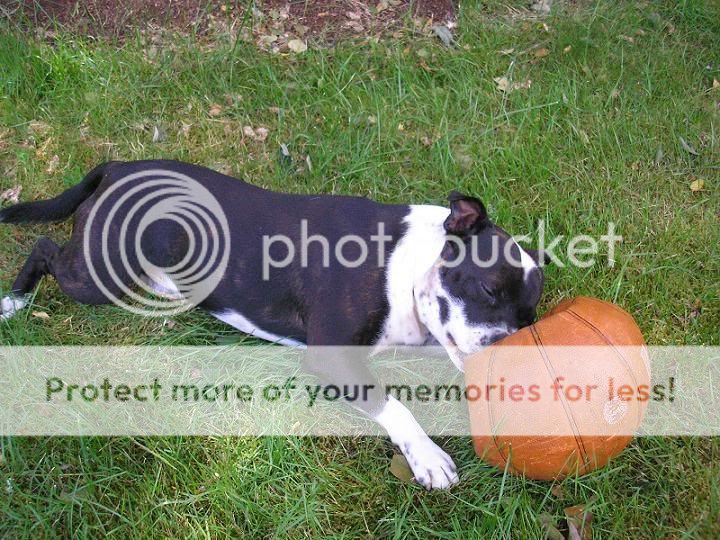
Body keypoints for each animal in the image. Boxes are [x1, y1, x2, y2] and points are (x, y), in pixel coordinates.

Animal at [0, 160, 544, 490]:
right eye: (489, 290)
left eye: (527, 322)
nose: (503, 347)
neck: (407, 262)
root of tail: (117, 167)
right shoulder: (333, 357)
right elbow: (394, 405)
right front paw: (427, 456)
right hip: (97, 274)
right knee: (44, 250)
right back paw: (14, 299)